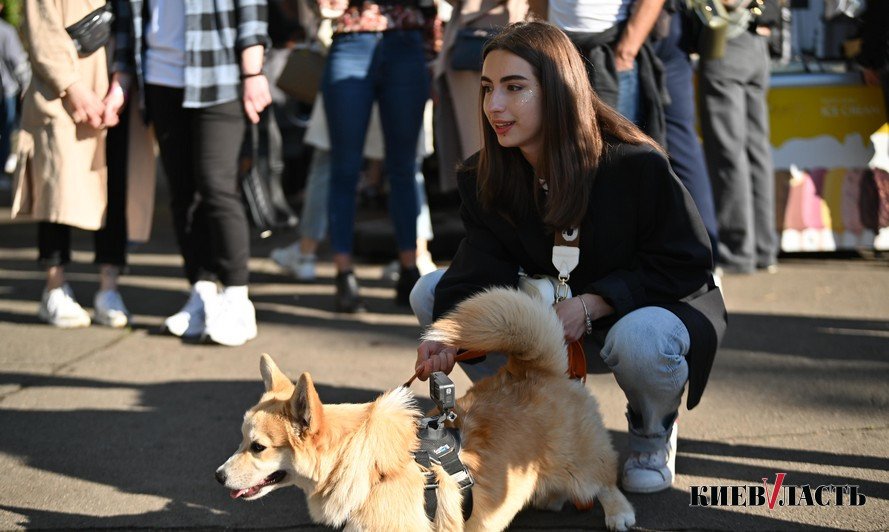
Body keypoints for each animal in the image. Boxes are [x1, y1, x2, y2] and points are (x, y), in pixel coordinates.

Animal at [214, 288, 632, 528]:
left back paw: (619, 514)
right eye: (242, 441)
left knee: (605, 480)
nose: (217, 477)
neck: (361, 465)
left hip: (579, 464)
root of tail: (532, 368)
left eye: (258, 447)